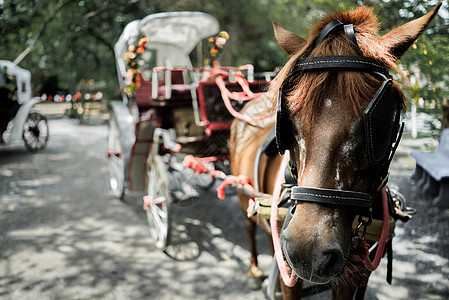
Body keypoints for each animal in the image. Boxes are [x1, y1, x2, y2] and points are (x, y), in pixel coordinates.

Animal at [229, 2, 440, 300]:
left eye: (379, 121)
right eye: (289, 117)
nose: (308, 252)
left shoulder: (355, 275)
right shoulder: (290, 273)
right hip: (243, 194)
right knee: (250, 224)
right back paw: (255, 268)